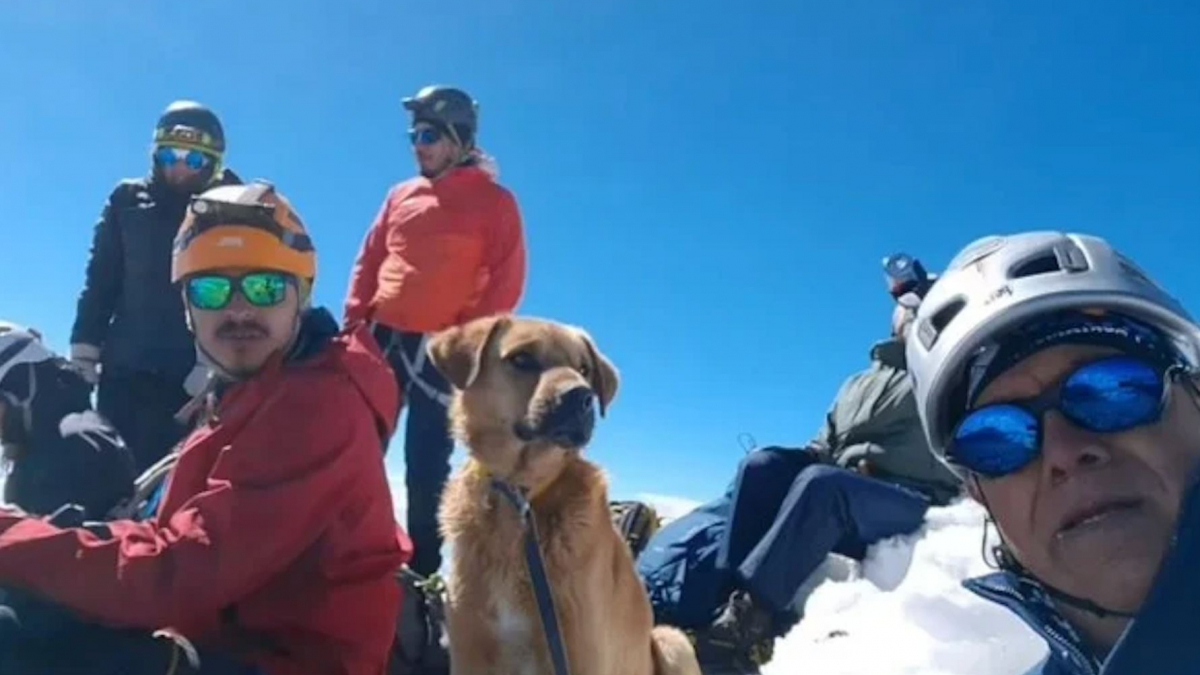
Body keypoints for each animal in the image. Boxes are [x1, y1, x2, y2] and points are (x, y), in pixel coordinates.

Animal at [429, 314, 700, 672]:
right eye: (522, 359)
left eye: (584, 368)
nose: (582, 396)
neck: (522, 494)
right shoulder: (469, 653)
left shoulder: (581, 654)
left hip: (672, 640)